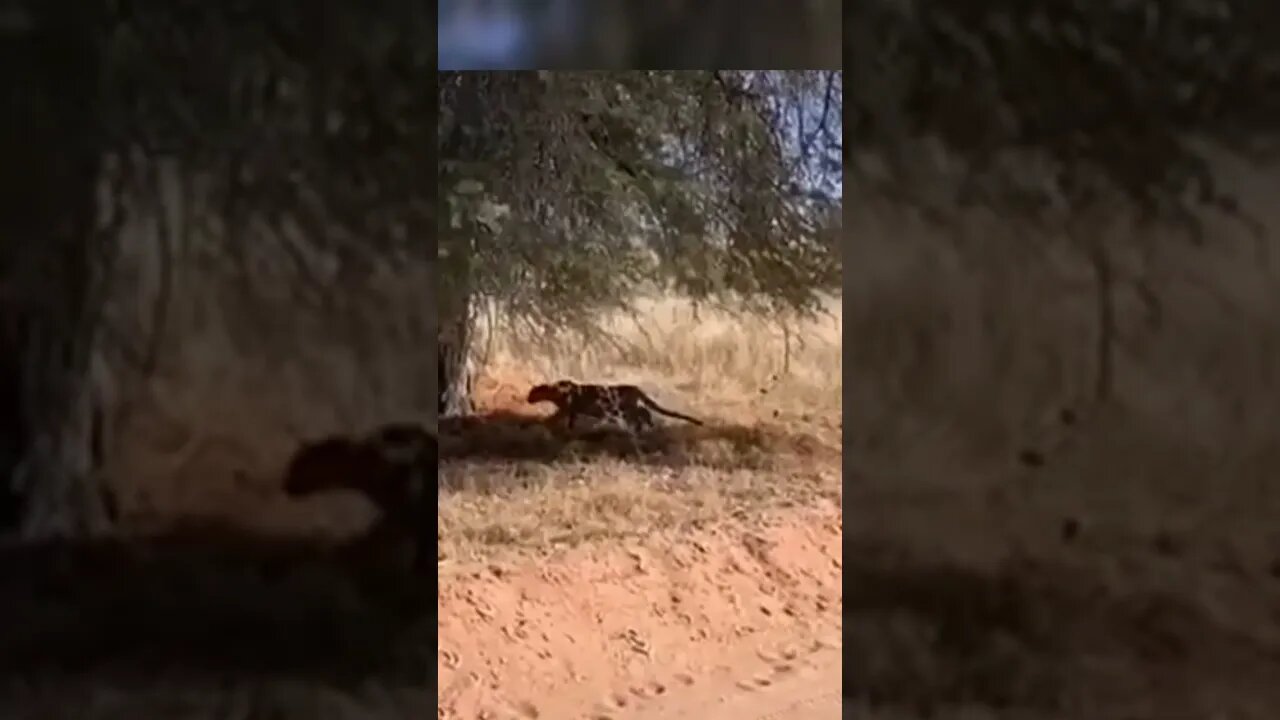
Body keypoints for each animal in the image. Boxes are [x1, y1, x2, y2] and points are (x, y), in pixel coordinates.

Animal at [522, 376, 701, 430]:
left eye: (532, 393)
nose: (527, 399)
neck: (555, 390)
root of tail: (636, 387)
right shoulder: (572, 410)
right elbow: (570, 420)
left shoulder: (567, 408)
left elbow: (555, 417)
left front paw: (545, 422)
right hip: (626, 408)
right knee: (643, 413)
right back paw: (645, 426)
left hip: (624, 407)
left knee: (642, 412)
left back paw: (644, 426)